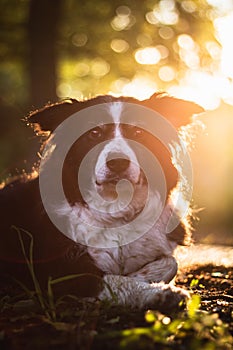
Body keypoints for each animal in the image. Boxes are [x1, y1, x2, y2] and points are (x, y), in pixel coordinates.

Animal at [0, 93, 203, 314]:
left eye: (138, 132)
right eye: (95, 133)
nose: (118, 162)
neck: (115, 208)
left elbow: (170, 263)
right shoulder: (57, 271)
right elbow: (111, 280)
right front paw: (158, 292)